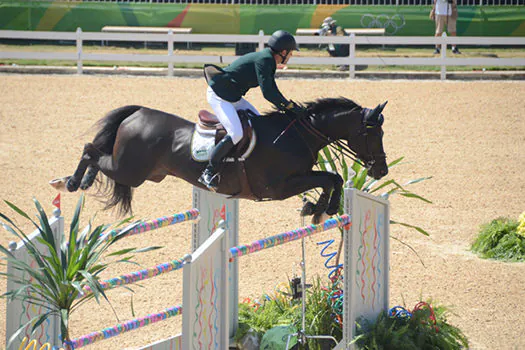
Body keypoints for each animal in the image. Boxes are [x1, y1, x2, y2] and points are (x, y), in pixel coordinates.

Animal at [52, 97, 388, 223]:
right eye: (374, 134)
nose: (382, 170)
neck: (297, 134)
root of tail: (138, 113)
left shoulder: (298, 178)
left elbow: (332, 178)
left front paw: (317, 209)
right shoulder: (278, 187)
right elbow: (330, 178)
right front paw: (320, 209)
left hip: (141, 173)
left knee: (96, 154)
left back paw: (79, 181)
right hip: (129, 170)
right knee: (91, 150)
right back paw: (70, 181)